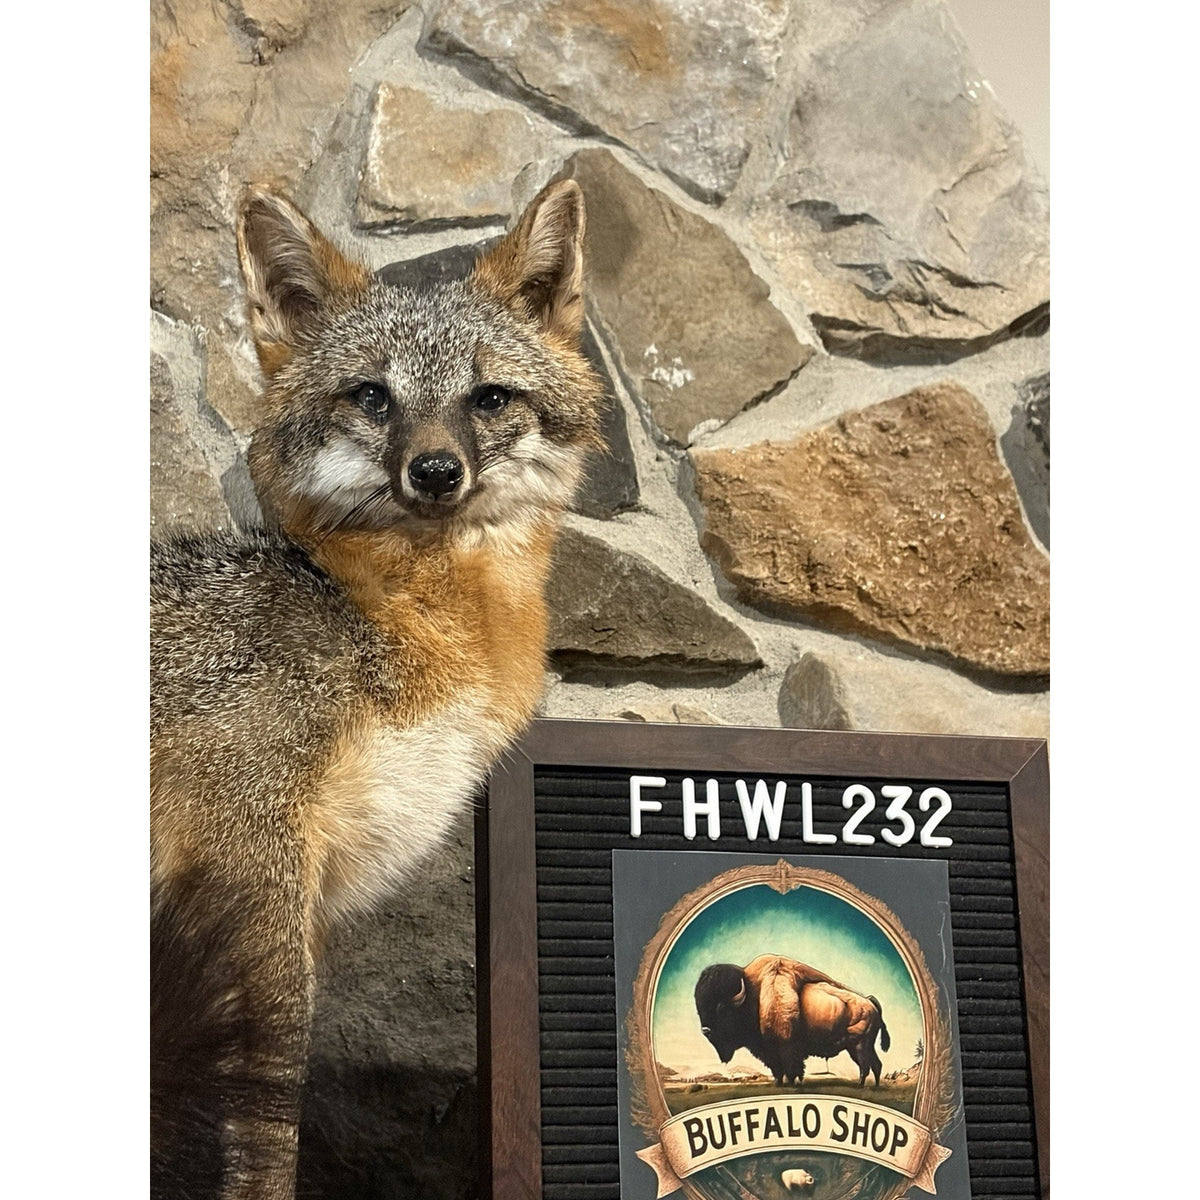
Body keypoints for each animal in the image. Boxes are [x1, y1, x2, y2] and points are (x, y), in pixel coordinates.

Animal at [150, 178, 603, 1198]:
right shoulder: (256, 866)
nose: (435, 471)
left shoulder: (295, 902)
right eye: (372, 396)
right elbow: (265, 1110)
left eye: (489, 397)